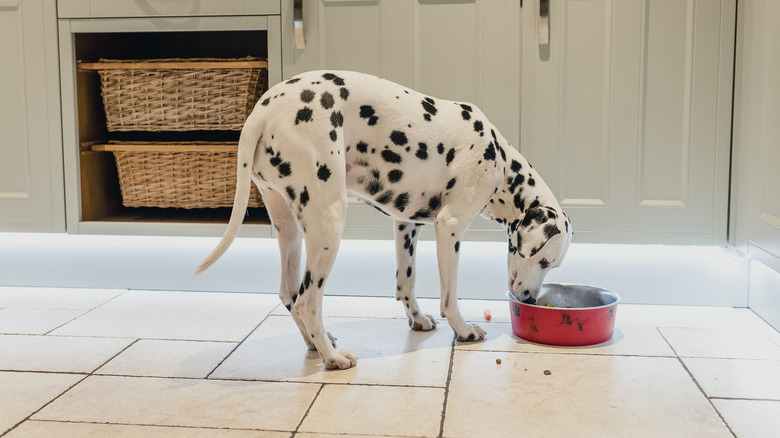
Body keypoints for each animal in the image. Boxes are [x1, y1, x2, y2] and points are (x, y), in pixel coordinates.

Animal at [195, 70, 572, 368]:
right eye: (543, 261)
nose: (530, 300)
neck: (501, 161)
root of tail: (263, 110)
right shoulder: (449, 227)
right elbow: (450, 298)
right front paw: (464, 331)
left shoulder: (406, 225)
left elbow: (406, 282)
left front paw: (417, 319)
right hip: (329, 222)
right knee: (306, 300)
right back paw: (333, 358)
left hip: (290, 230)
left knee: (289, 294)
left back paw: (317, 344)